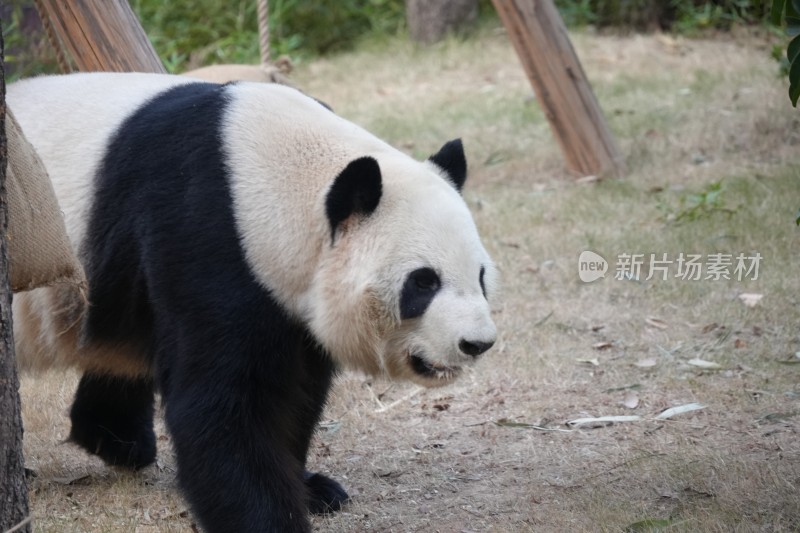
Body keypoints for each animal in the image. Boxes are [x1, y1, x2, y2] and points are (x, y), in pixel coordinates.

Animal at [10, 74, 500, 532]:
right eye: (423, 282)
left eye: (480, 276)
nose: (476, 344)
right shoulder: (204, 236)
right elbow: (223, 407)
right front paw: (270, 518)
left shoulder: (290, 301)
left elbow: (298, 392)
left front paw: (312, 488)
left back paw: (117, 440)